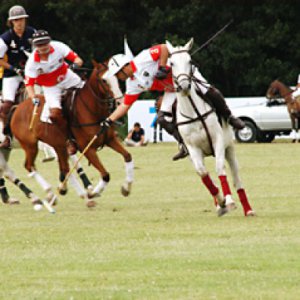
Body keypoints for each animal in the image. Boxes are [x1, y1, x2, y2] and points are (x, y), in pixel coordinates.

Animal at [10, 59, 132, 207]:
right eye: (104, 80)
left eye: (117, 77)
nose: (120, 102)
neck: (92, 111)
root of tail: (17, 108)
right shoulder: (88, 149)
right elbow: (105, 174)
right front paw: (93, 192)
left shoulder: (110, 140)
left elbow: (127, 156)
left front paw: (126, 188)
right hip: (30, 145)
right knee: (29, 166)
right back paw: (48, 195)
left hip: (58, 145)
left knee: (64, 168)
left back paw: (69, 191)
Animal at [165, 39, 254, 216]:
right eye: (171, 63)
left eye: (190, 61)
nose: (184, 86)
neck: (194, 112)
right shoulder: (192, 148)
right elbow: (203, 174)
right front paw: (221, 202)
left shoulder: (217, 140)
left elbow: (220, 169)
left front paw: (229, 201)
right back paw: (219, 205)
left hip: (229, 147)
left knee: (235, 176)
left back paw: (247, 209)